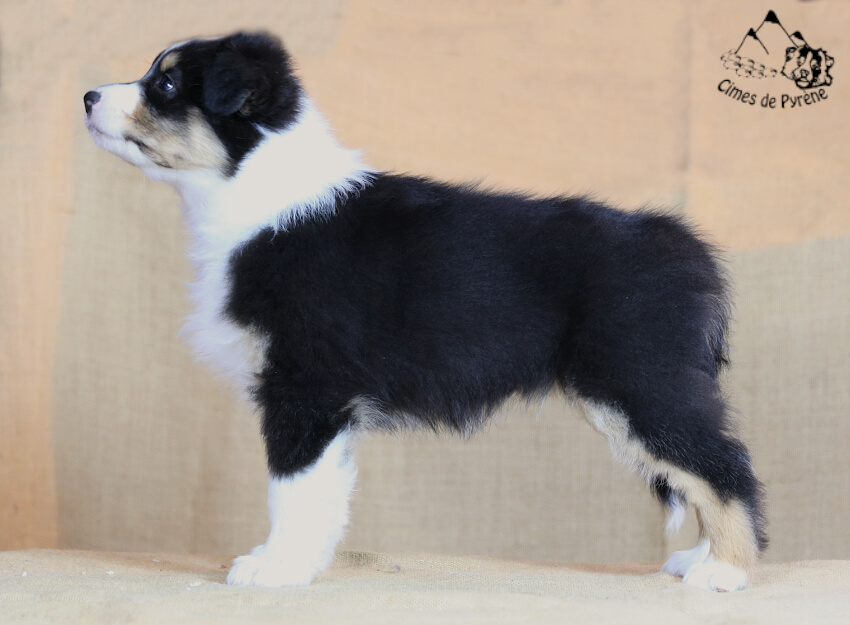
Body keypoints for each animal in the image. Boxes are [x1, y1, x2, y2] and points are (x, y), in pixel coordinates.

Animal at [84, 32, 766, 592]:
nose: (87, 95)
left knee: (723, 465)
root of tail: (686, 245)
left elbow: (290, 490)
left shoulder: (304, 387)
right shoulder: (328, 405)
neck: (253, 188)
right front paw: (305, 565)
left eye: (166, 85)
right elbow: (325, 493)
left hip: (638, 381)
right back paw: (701, 558)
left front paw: (273, 570)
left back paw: (726, 572)